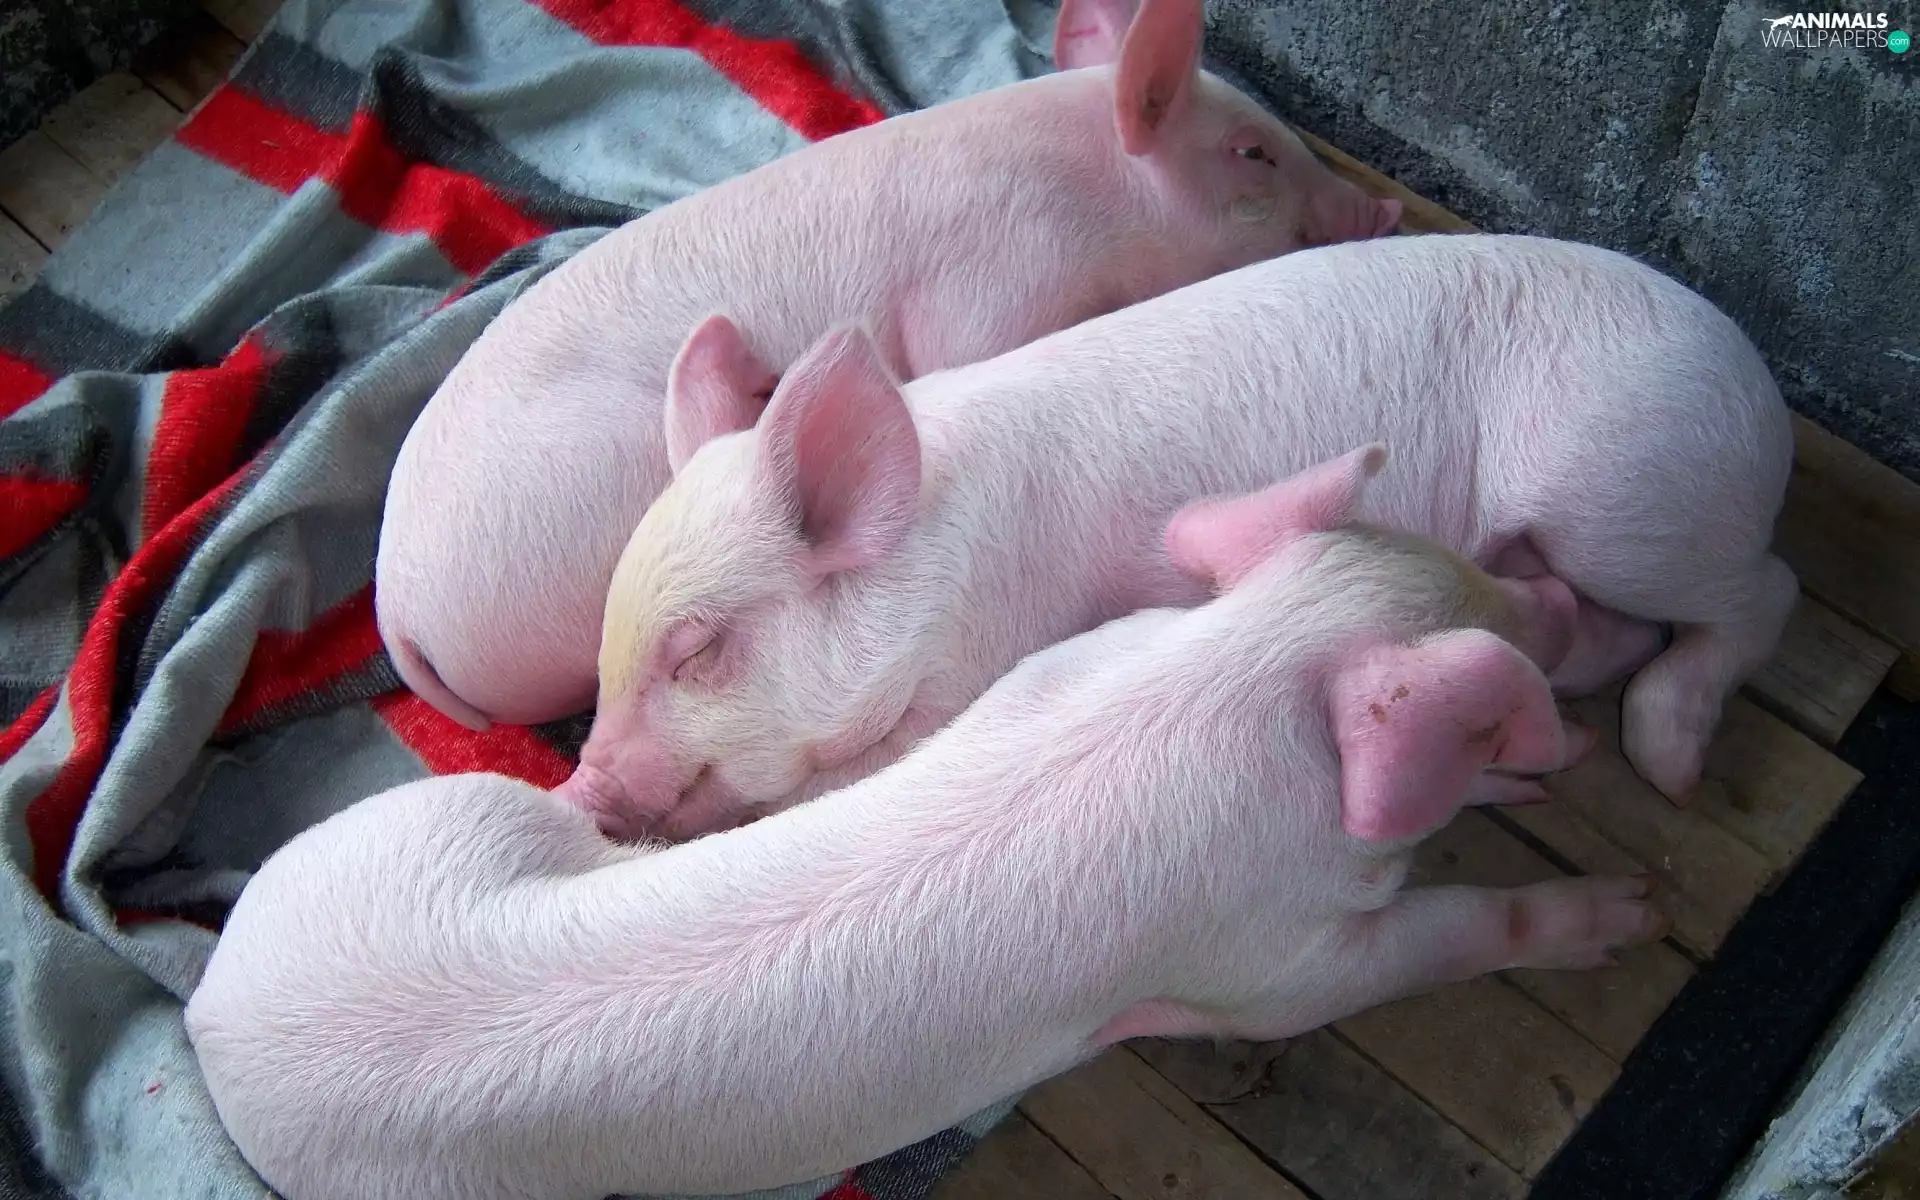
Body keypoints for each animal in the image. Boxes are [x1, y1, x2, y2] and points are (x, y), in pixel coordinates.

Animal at [186, 450, 1671, 1200]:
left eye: (1469, 564)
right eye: (1496, 704)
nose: (1561, 602)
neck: (1234, 674)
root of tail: (217, 1011)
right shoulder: (1265, 964)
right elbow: (1427, 943)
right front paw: (1622, 916)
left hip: (431, 823)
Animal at [565, 232, 1797, 839]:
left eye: (697, 648)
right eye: (604, 650)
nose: (579, 787)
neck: (942, 562)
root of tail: (1758, 388)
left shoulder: (974, 666)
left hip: (1624, 498)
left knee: (1765, 592)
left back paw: (1668, 763)